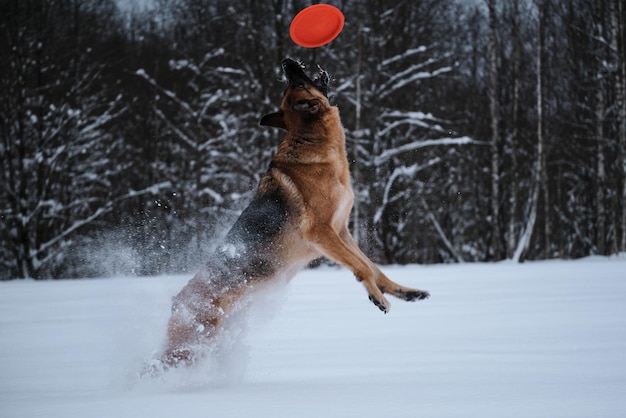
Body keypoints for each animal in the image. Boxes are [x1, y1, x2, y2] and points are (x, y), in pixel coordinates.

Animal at [158, 58, 426, 366]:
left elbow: (372, 267)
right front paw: (378, 298)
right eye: (296, 82)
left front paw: (402, 292)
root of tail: (176, 303)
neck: (310, 141)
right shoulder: (322, 233)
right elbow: (360, 267)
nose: (287, 62)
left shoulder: (342, 232)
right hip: (188, 350)